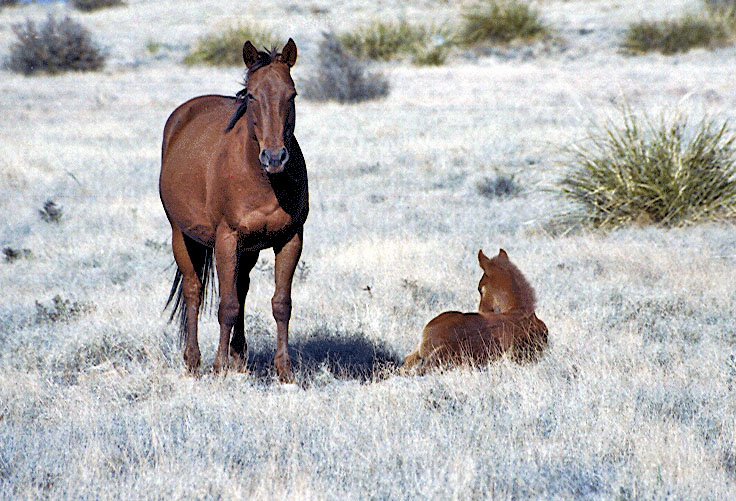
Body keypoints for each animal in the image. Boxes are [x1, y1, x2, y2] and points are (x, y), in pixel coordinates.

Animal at [160, 40, 306, 382]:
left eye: (292, 95)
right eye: (251, 95)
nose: (275, 157)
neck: (263, 179)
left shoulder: (291, 239)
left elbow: (281, 304)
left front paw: (285, 371)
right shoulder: (226, 239)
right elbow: (226, 306)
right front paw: (219, 368)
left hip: (248, 249)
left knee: (241, 288)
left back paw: (240, 359)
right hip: (181, 235)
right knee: (194, 290)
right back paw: (194, 361)